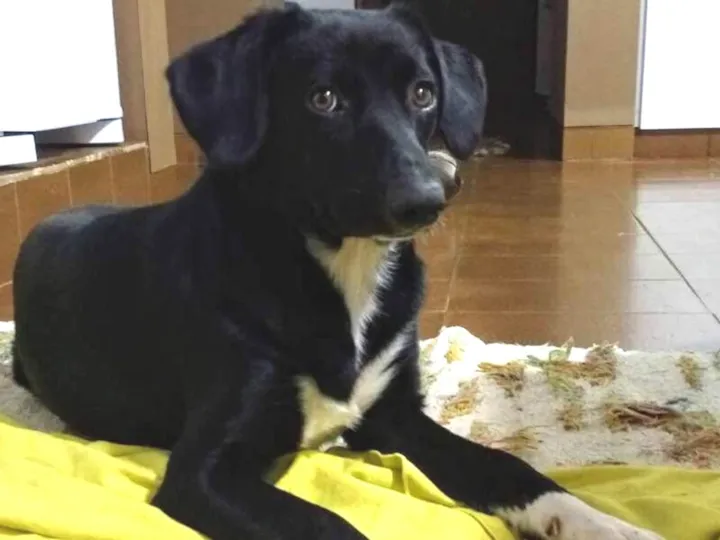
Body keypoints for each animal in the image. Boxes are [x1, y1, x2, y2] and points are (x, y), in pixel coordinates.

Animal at [11, 4, 663, 539]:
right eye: (322, 98)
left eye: (423, 92)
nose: (428, 199)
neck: (345, 268)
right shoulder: (203, 470)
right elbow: (330, 527)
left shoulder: (395, 417)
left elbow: (508, 465)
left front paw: (602, 523)